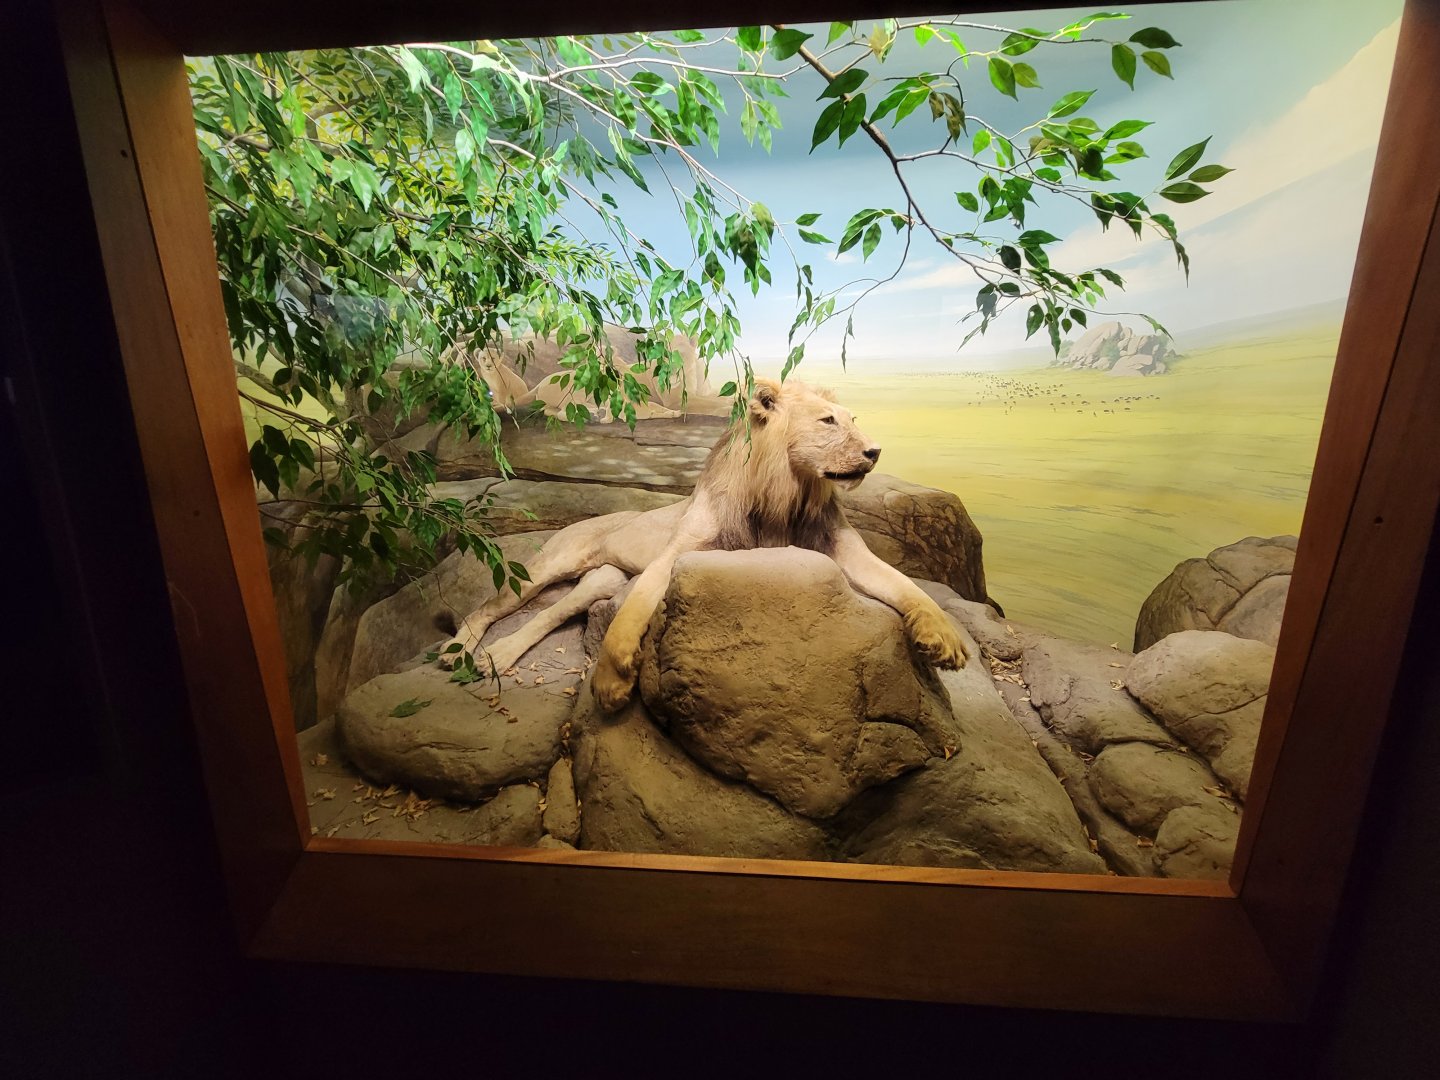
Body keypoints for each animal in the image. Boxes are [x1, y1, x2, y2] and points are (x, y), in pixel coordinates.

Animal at [439, 377, 969, 712]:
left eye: (852, 419)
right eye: (827, 422)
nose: (874, 451)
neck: (788, 492)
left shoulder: (842, 546)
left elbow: (905, 585)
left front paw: (941, 638)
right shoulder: (681, 549)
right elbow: (634, 610)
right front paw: (611, 681)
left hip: (602, 578)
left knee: (554, 612)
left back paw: (499, 653)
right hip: (550, 563)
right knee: (486, 609)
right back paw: (460, 651)